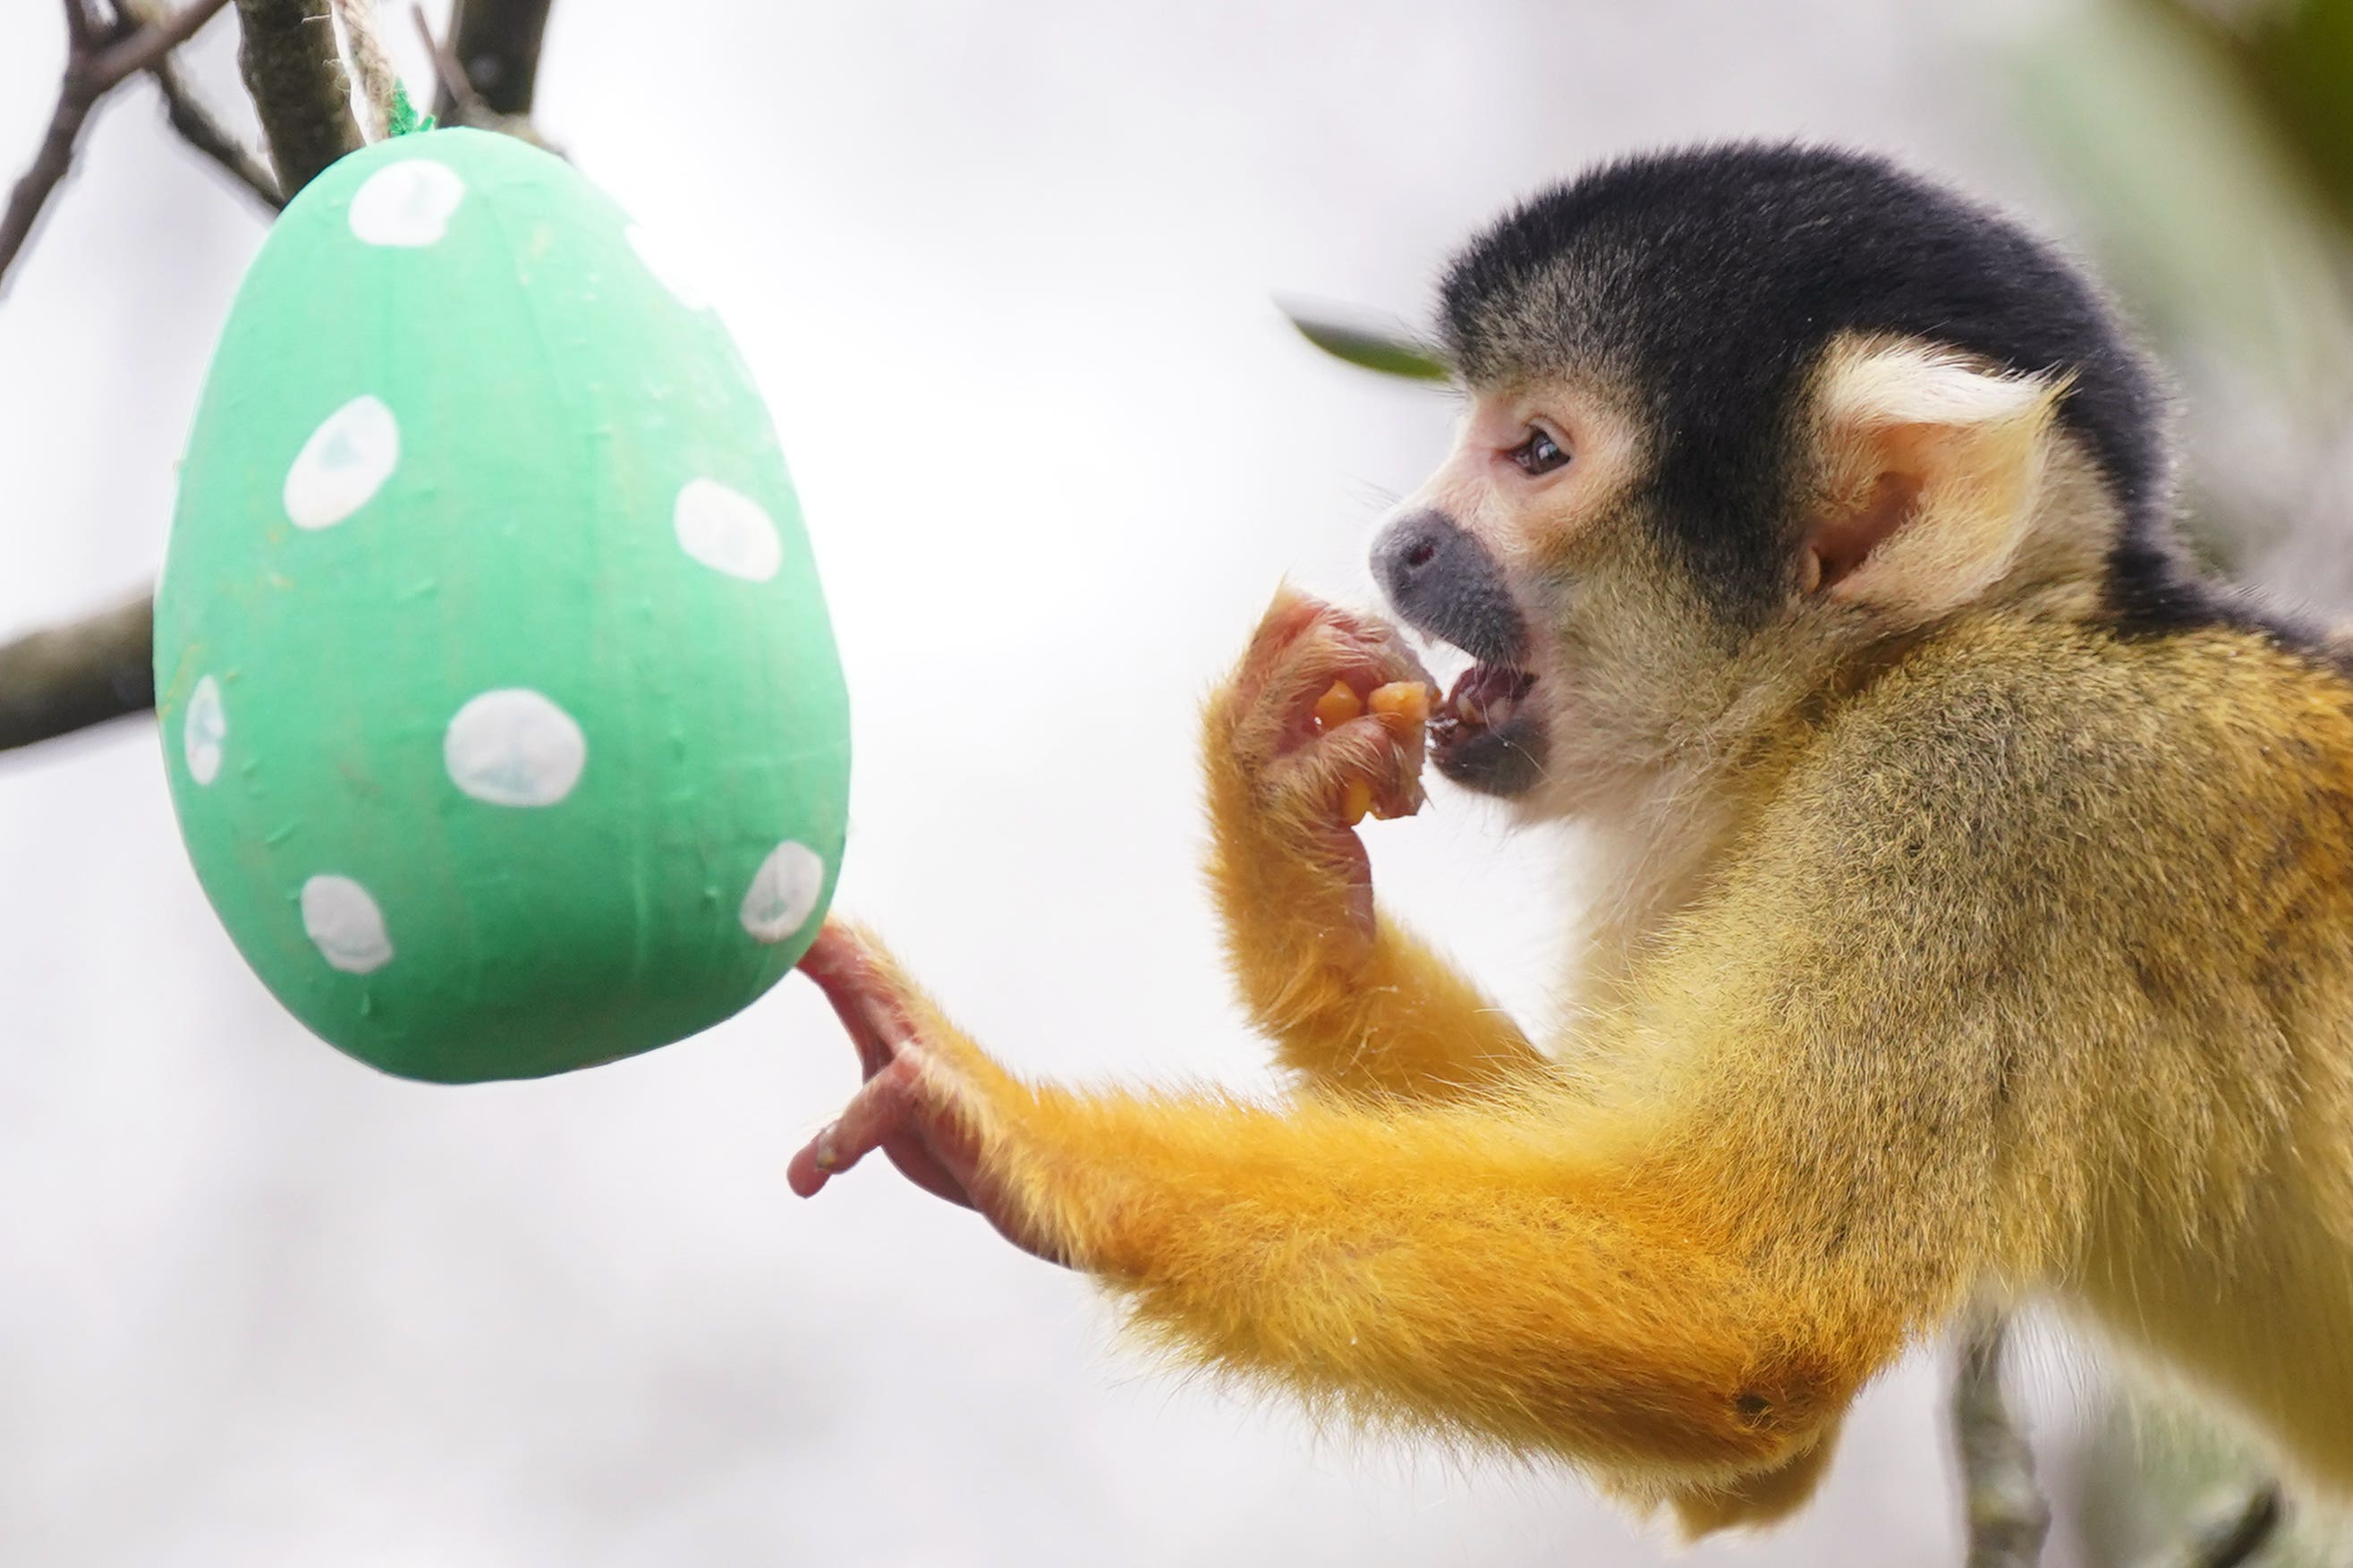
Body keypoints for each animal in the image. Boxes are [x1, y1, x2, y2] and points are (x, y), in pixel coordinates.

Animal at [784, 141, 2353, 1536]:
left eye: (1533, 453)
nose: (1405, 543)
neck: (1870, 685)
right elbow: (1739, 1452)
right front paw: (1296, 877)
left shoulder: (1989, 792)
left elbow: (1734, 1308)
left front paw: (1015, 1134)